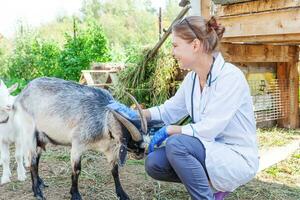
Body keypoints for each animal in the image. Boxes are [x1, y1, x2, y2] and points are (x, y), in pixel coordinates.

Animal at [14, 77, 148, 200]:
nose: (143, 152)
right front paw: (75, 195)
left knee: (36, 160)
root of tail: (22, 93)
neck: (104, 120)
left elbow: (115, 170)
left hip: (41, 138)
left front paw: (122, 194)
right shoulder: (77, 146)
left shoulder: (110, 149)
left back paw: (40, 183)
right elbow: (76, 170)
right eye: (132, 141)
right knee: (32, 161)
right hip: (29, 132)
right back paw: (37, 192)